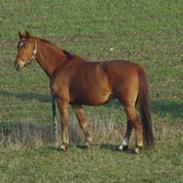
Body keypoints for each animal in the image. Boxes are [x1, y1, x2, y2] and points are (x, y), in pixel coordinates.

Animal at [14, 31, 154, 153]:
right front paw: (88, 143)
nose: (17, 65)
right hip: (129, 104)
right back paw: (122, 146)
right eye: (18, 45)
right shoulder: (76, 103)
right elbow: (83, 122)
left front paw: (64, 145)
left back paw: (137, 147)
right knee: (130, 121)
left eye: (26, 46)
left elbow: (64, 121)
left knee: (136, 121)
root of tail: (136, 67)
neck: (61, 66)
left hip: (127, 103)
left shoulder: (62, 101)